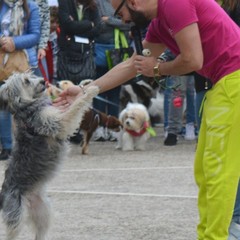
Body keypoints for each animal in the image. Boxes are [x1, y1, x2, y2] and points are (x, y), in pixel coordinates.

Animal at [0, 71, 98, 240]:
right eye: (26, 81)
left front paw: (85, 83)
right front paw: (90, 91)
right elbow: (76, 105)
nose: (43, 81)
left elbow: (74, 103)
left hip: (43, 212)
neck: (26, 107)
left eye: (31, 76)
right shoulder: (59, 122)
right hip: (16, 217)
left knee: (40, 233)